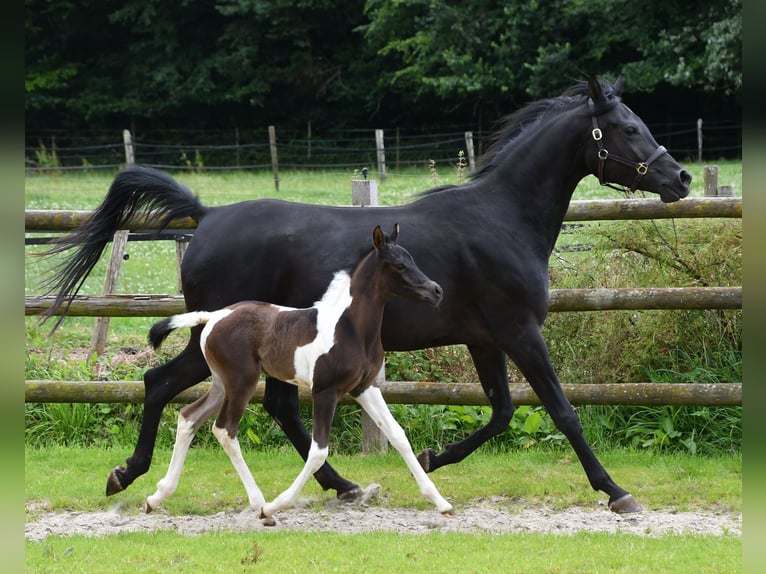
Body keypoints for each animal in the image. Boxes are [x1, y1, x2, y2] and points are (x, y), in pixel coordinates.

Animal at [147, 226, 452, 520]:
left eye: (412, 259)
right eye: (399, 264)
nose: (437, 291)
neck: (350, 327)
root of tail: (214, 316)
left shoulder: (364, 387)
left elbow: (398, 436)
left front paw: (441, 502)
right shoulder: (325, 391)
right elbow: (318, 451)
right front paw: (274, 507)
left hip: (222, 383)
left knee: (190, 416)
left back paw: (158, 495)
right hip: (242, 382)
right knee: (224, 429)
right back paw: (258, 502)